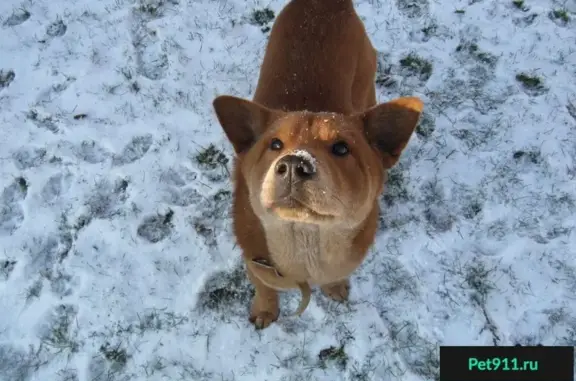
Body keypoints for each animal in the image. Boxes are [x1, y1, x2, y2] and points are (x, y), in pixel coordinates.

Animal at [212, 0, 424, 328]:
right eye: (275, 144)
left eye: (341, 147)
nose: (293, 164)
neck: (305, 245)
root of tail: (326, 3)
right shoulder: (256, 263)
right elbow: (264, 287)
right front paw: (265, 309)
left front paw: (334, 286)